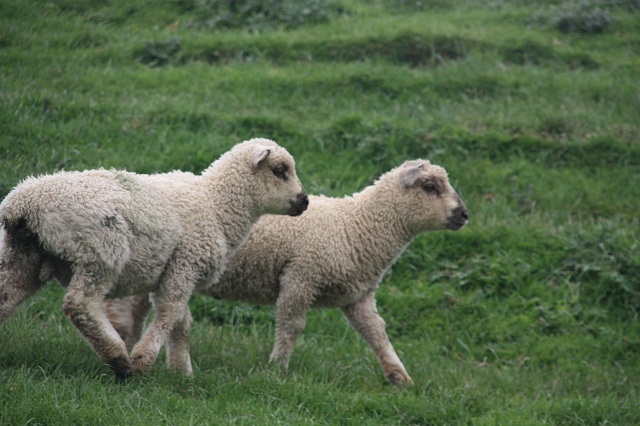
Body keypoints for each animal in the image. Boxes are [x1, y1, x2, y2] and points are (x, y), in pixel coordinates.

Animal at [0, 138, 309, 378]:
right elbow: (169, 312)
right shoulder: (186, 263)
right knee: (80, 305)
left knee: (6, 297)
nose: (304, 200)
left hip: (23, 256)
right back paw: (118, 358)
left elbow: (182, 321)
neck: (216, 205)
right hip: (101, 251)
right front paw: (144, 360)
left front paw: (181, 372)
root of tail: (23, 205)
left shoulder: (178, 270)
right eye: (280, 171)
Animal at [107, 159, 468, 387]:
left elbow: (377, 333)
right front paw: (277, 368)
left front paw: (399, 377)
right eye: (430, 186)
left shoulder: (358, 295)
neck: (357, 226)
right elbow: (292, 326)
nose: (464, 214)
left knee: (139, 305)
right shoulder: (301, 276)